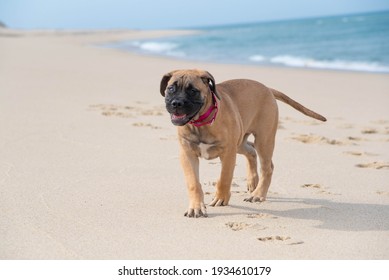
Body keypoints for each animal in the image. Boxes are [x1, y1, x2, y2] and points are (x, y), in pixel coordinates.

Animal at [159, 69, 326, 218]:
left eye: (193, 91)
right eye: (171, 89)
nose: (176, 103)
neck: (200, 123)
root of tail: (267, 88)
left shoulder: (228, 154)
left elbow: (224, 178)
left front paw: (221, 198)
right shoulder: (187, 154)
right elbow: (193, 182)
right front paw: (196, 207)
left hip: (263, 140)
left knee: (267, 167)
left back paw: (258, 194)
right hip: (240, 141)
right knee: (251, 150)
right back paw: (253, 182)